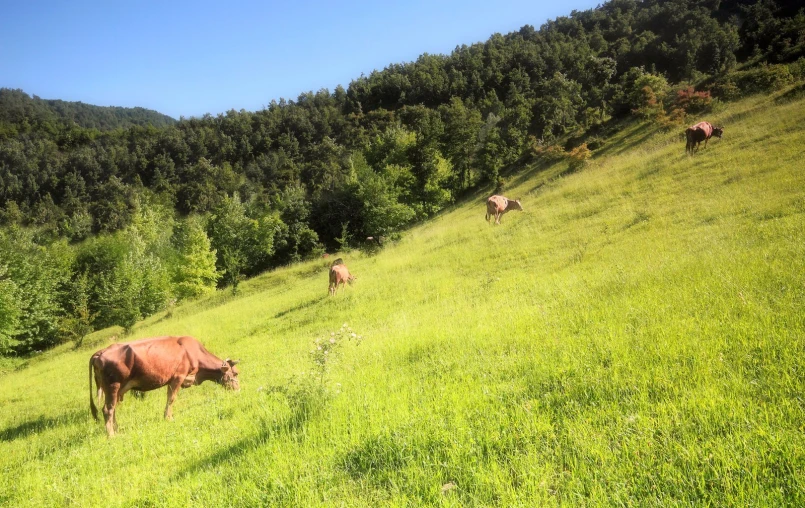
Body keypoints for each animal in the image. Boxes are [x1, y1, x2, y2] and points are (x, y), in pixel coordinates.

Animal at [89, 334, 239, 436]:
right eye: (235, 374)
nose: (239, 389)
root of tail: (100, 353)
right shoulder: (178, 377)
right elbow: (171, 399)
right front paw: (168, 418)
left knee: (112, 408)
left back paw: (117, 429)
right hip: (112, 386)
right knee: (107, 409)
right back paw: (111, 435)